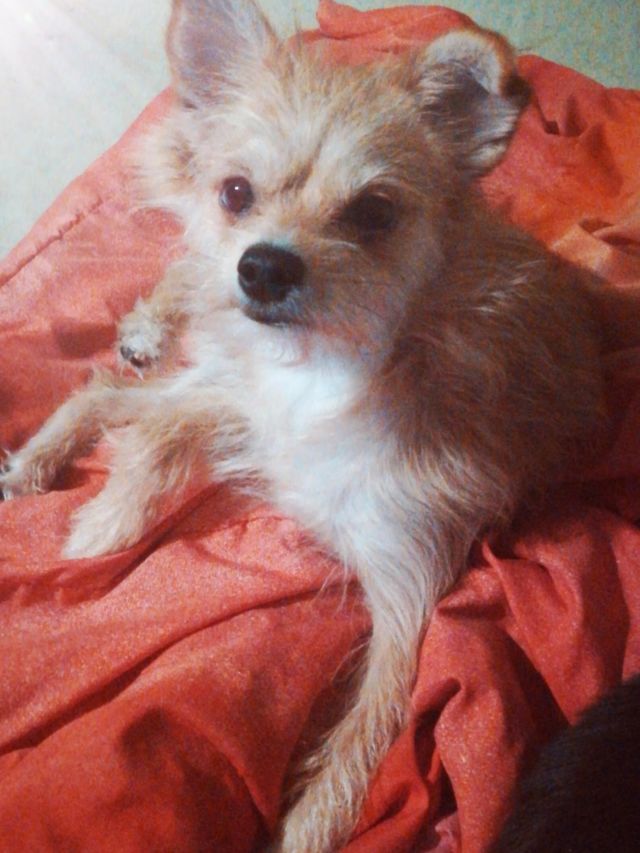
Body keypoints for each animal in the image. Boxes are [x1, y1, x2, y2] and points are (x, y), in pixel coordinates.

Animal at [0, 1, 606, 850]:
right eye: (235, 191)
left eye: (375, 212)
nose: (262, 267)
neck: (330, 370)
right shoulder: (247, 412)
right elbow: (153, 434)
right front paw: (106, 523)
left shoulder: (405, 591)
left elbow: (359, 745)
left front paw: (306, 829)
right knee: (172, 296)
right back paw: (135, 345)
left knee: (110, 388)